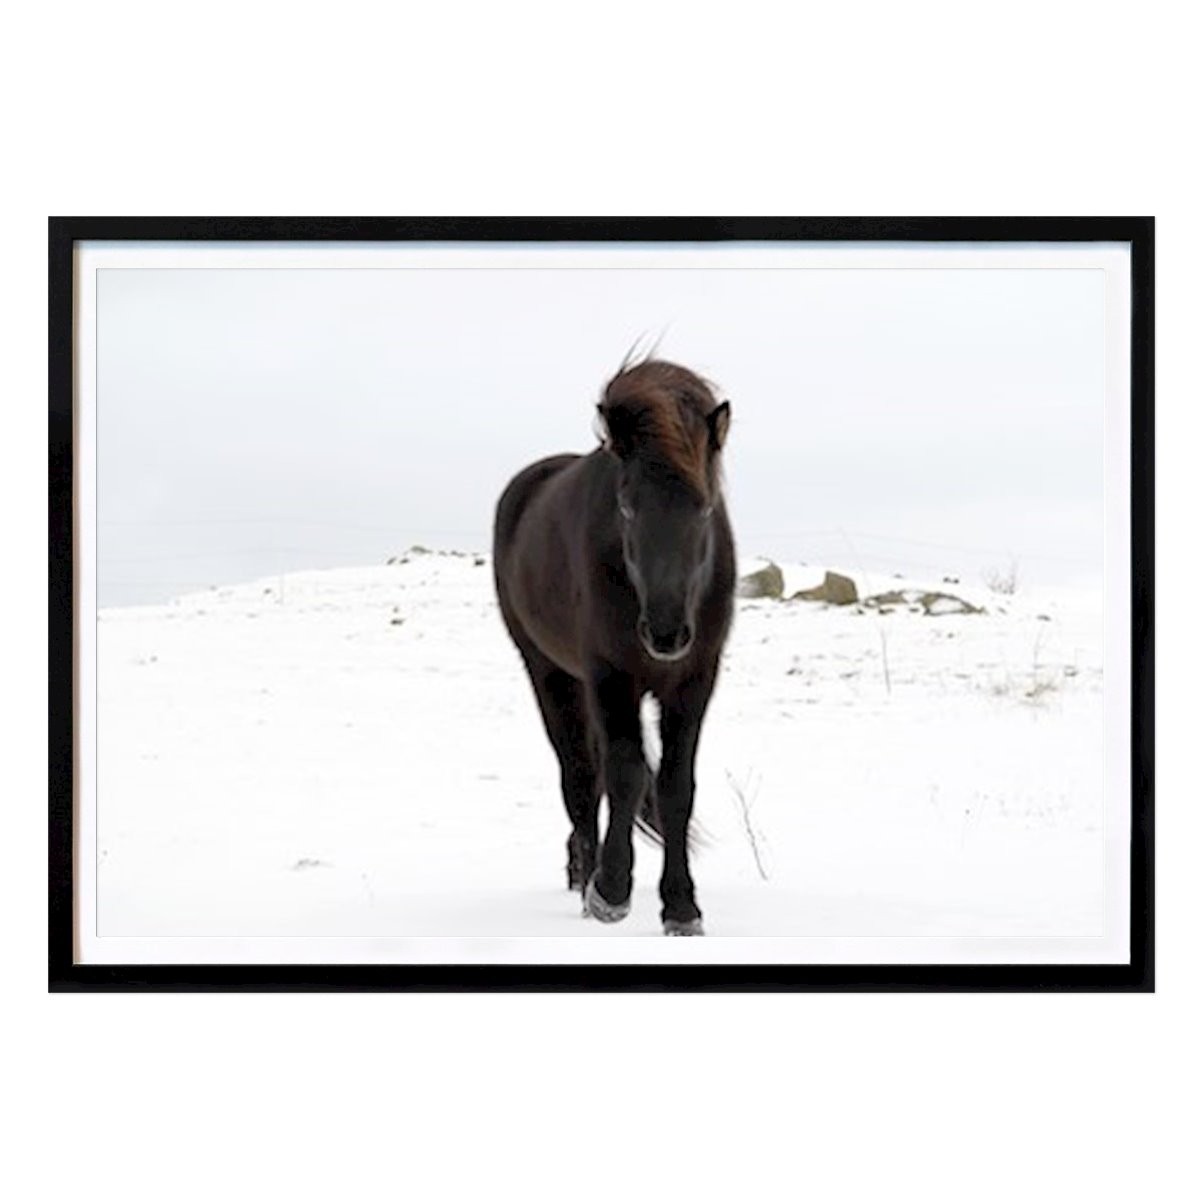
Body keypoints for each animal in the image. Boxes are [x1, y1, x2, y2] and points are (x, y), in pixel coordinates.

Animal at [493, 358, 735, 935]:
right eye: (626, 508)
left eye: (704, 508)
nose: (666, 634)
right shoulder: (611, 676)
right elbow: (625, 777)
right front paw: (612, 890)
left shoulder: (694, 681)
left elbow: (675, 787)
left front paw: (681, 908)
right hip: (551, 672)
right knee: (581, 776)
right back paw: (586, 877)